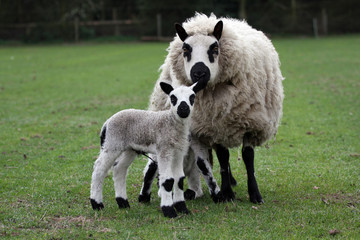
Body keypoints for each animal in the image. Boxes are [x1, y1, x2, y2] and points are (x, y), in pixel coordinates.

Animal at [90, 80, 207, 218]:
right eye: (173, 98)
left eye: (192, 97)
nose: (183, 109)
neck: (171, 124)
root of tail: (106, 123)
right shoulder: (164, 150)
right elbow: (168, 180)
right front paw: (169, 211)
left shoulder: (178, 152)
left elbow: (179, 179)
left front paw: (182, 208)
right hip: (112, 144)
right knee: (99, 168)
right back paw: (97, 204)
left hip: (130, 148)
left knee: (119, 168)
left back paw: (123, 203)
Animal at [141, 12, 284, 204]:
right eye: (186, 50)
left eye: (215, 48)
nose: (199, 73)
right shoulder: (214, 126)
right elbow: (223, 157)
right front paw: (227, 193)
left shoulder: (251, 123)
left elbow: (248, 158)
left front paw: (255, 194)